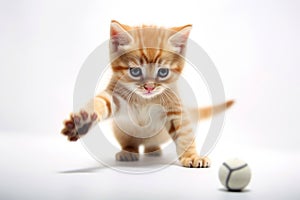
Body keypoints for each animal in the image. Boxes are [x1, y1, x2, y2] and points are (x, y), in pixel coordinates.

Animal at [61, 19, 234, 167]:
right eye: (135, 71)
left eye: (163, 72)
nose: (149, 87)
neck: (144, 100)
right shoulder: (116, 95)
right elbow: (99, 102)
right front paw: (83, 122)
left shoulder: (174, 106)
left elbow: (184, 134)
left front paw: (192, 156)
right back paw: (128, 152)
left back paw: (153, 150)